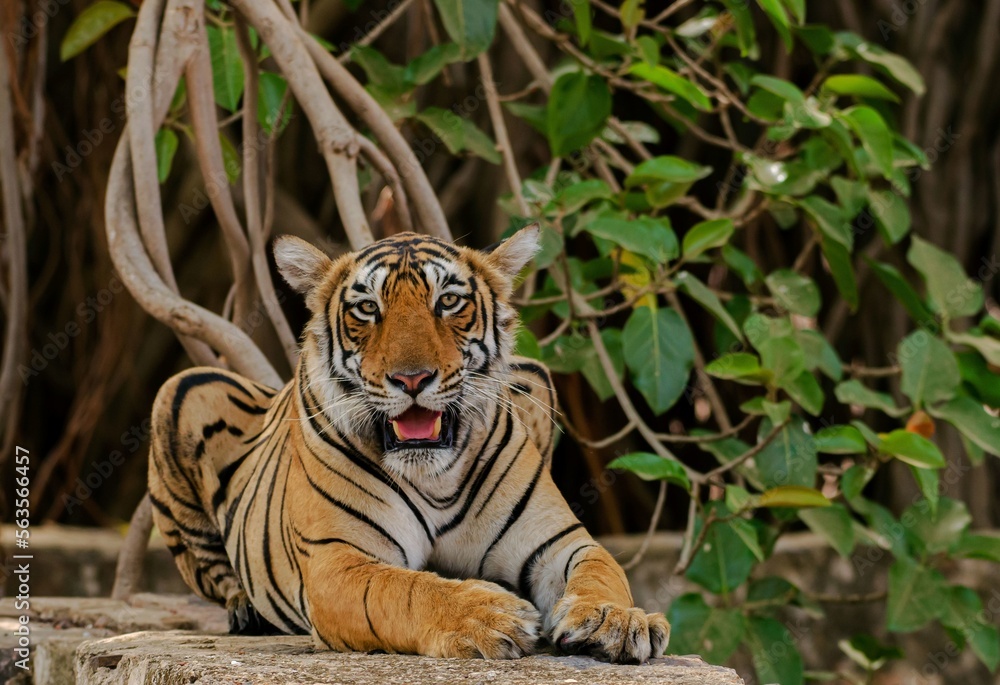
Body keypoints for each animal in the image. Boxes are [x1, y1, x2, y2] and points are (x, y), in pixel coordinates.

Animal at [147, 227, 670, 663]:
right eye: (367, 308)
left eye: (448, 301)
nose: (412, 379)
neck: (435, 476)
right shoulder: (338, 561)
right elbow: (407, 591)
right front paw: (492, 616)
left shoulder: (555, 540)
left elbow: (601, 568)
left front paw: (617, 620)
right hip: (181, 388)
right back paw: (245, 610)